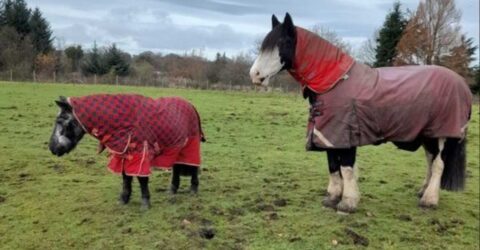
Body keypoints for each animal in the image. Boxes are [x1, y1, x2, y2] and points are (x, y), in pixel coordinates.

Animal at [50, 95, 202, 209]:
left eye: (60, 121)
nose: (52, 148)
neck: (125, 122)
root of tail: (191, 105)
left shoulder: (140, 154)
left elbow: (141, 179)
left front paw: (145, 203)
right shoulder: (123, 154)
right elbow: (125, 177)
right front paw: (124, 199)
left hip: (191, 145)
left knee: (194, 166)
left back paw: (194, 189)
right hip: (177, 147)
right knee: (177, 167)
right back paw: (172, 190)